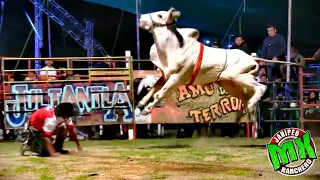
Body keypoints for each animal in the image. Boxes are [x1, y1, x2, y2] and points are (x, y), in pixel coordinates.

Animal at [136, 7, 294, 115]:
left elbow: (159, 93)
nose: (141, 17)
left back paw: (250, 105)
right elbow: (154, 88)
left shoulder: (177, 78)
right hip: (231, 84)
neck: (175, 48)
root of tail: (251, 57)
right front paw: (140, 104)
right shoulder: (165, 75)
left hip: (239, 76)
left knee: (261, 88)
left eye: (160, 15)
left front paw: (147, 109)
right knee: (246, 95)